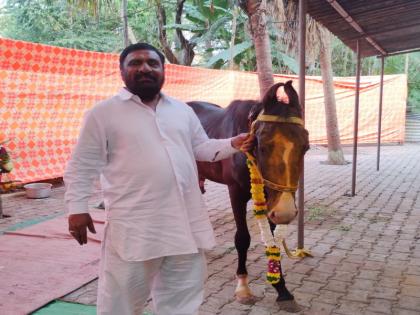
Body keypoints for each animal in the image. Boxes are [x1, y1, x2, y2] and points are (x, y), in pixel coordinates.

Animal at [189, 81, 310, 308]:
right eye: (261, 146)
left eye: (305, 147)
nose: (285, 212)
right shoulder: (235, 192)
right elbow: (242, 238)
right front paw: (243, 287)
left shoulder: (270, 199)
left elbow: (272, 240)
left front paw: (281, 289)